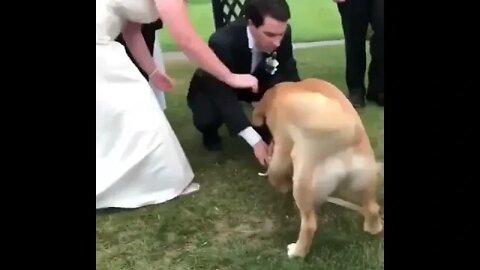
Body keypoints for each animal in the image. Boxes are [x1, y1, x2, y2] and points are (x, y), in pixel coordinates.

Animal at [251, 77, 382, 258]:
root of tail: (347, 137)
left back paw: (296, 252)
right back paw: (372, 229)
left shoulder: (282, 145)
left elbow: (276, 172)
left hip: (303, 185)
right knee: (372, 208)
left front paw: (282, 185)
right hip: (364, 184)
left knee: (309, 225)